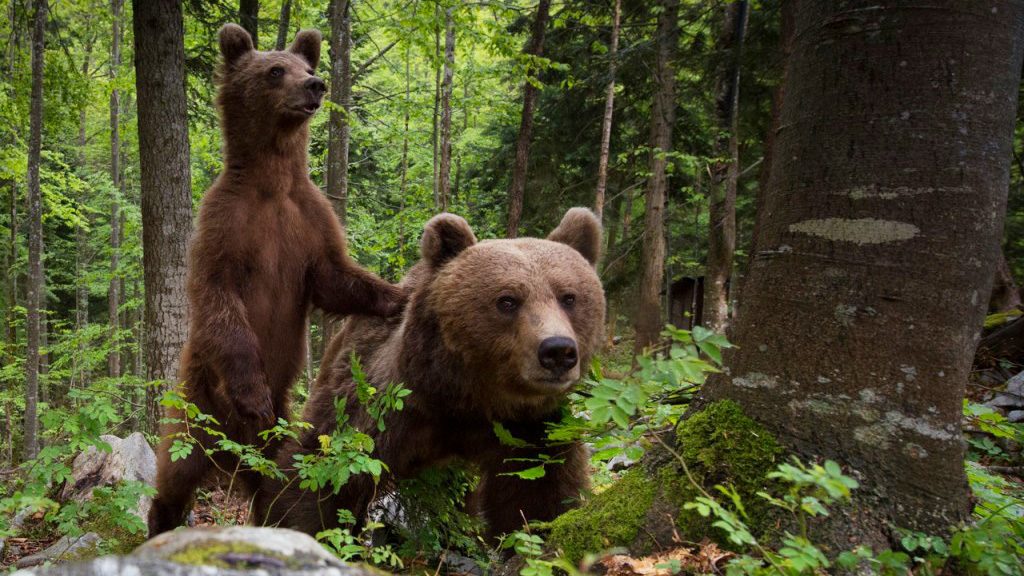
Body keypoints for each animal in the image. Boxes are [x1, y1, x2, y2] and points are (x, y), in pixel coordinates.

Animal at [148, 22, 403, 532]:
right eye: (274, 71)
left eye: (305, 65)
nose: (316, 85)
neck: (273, 184)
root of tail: (229, 453)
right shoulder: (224, 224)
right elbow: (218, 297)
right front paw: (252, 393)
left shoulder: (310, 221)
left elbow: (337, 278)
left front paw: (395, 295)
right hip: (196, 406)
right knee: (175, 471)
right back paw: (162, 518)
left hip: (279, 428)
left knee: (272, 480)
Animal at [258, 207, 606, 537]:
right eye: (507, 300)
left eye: (569, 297)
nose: (557, 351)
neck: (464, 400)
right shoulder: (384, 409)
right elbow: (318, 473)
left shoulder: (531, 430)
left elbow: (537, 496)